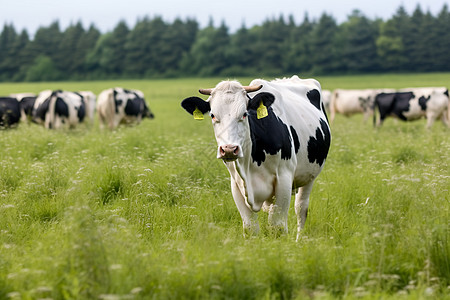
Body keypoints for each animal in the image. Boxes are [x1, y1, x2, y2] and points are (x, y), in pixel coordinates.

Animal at [179, 76, 330, 240]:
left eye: (244, 114)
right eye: (213, 115)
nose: (229, 149)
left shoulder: (284, 178)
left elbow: (277, 226)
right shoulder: (236, 184)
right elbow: (250, 228)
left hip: (310, 175)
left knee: (301, 208)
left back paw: (299, 240)